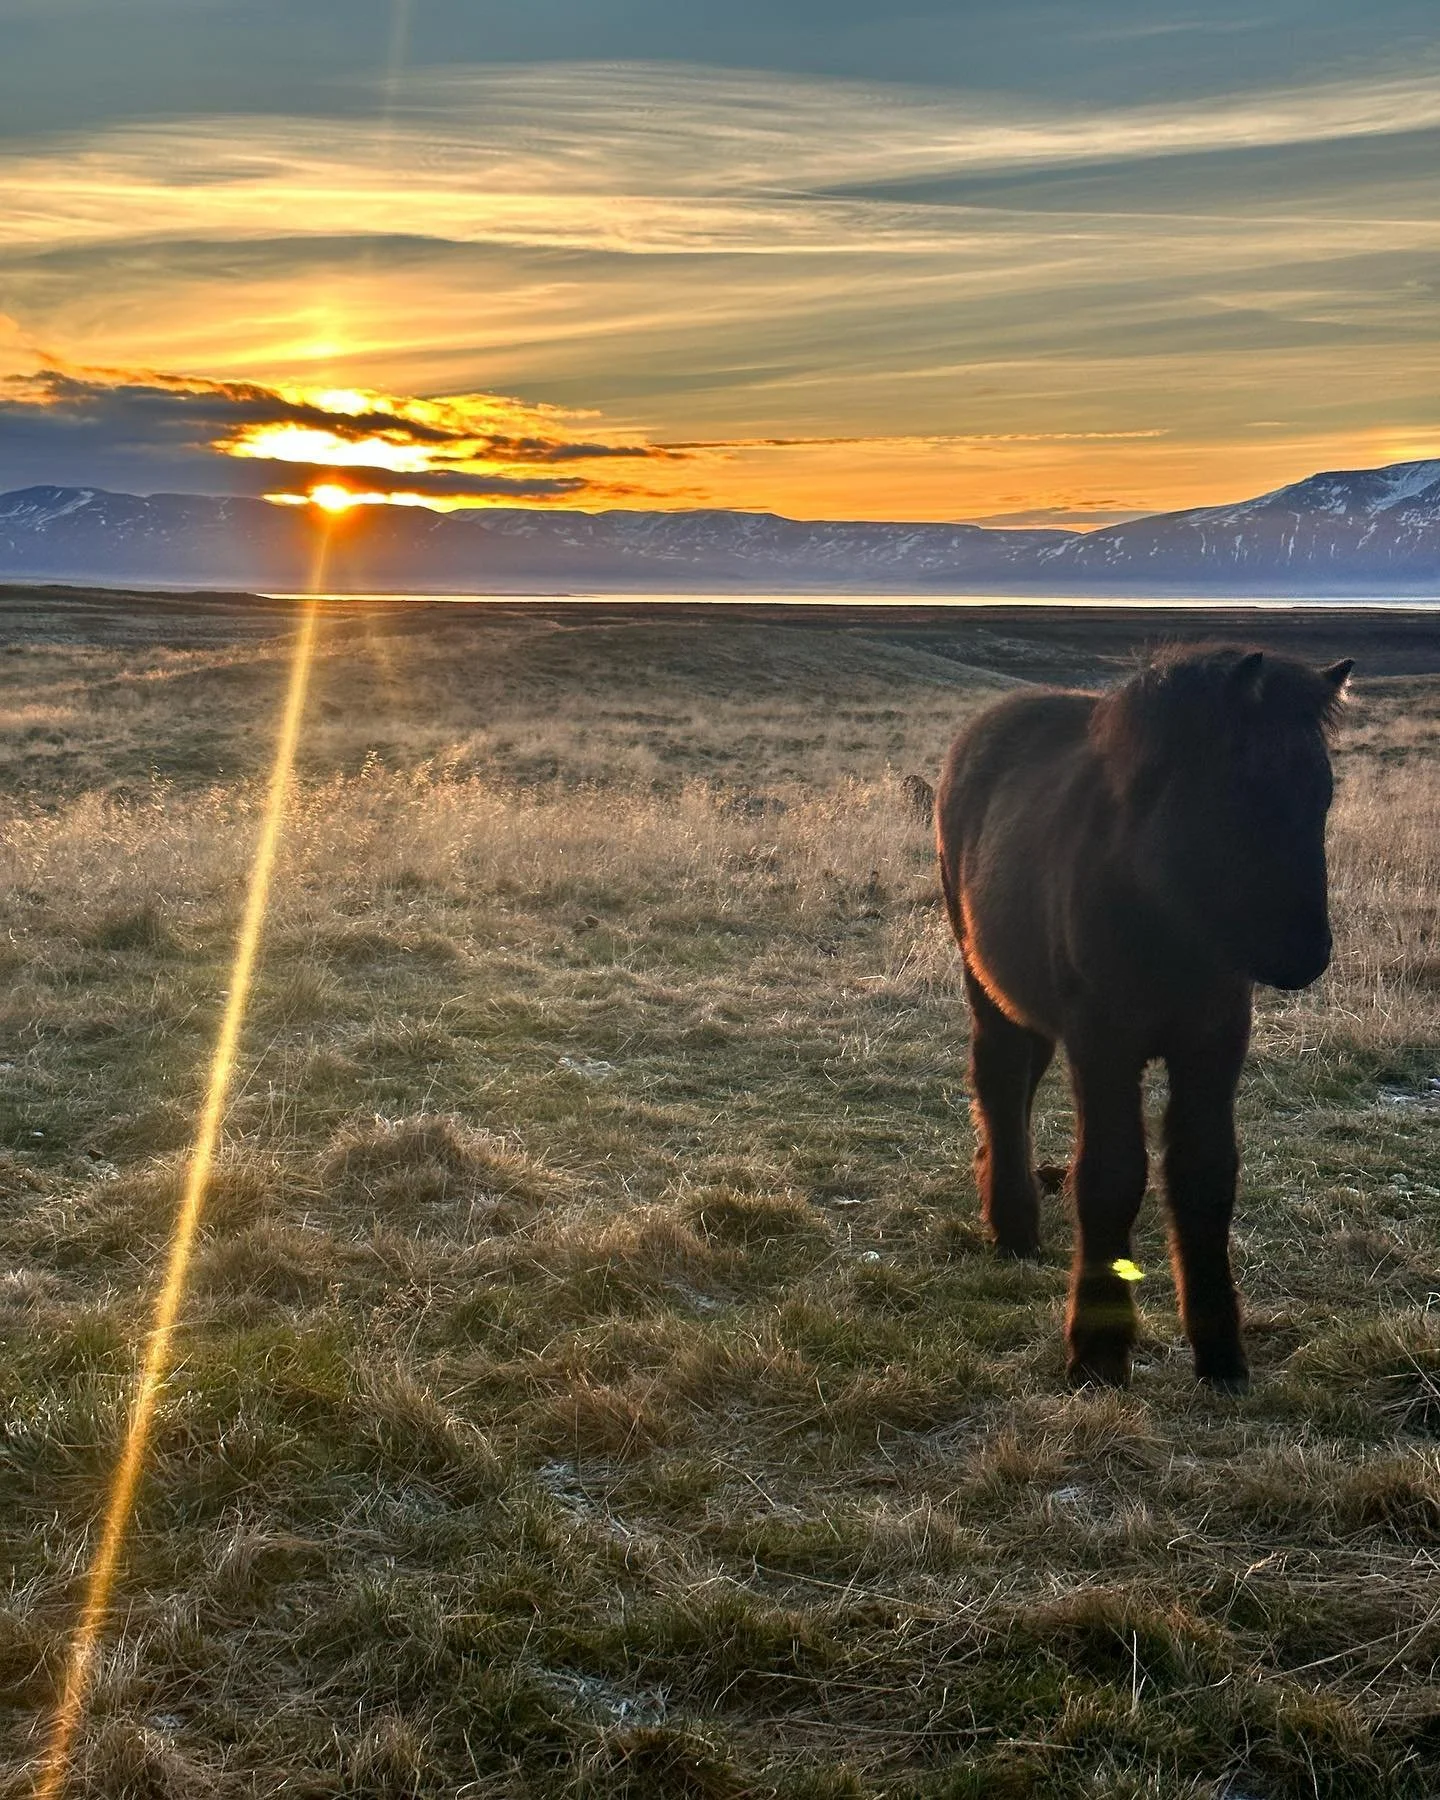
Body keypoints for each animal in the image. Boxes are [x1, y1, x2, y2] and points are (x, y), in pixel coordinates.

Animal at [935, 645, 1352, 1390]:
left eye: (1322, 796)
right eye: (1245, 792)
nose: (1305, 953)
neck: (1165, 907)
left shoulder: (1213, 1043)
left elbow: (1205, 1176)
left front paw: (1222, 1354)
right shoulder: (1104, 1045)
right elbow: (1111, 1176)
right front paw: (1096, 1353)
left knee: (1017, 1085)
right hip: (986, 984)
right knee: (999, 1082)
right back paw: (1012, 1227)